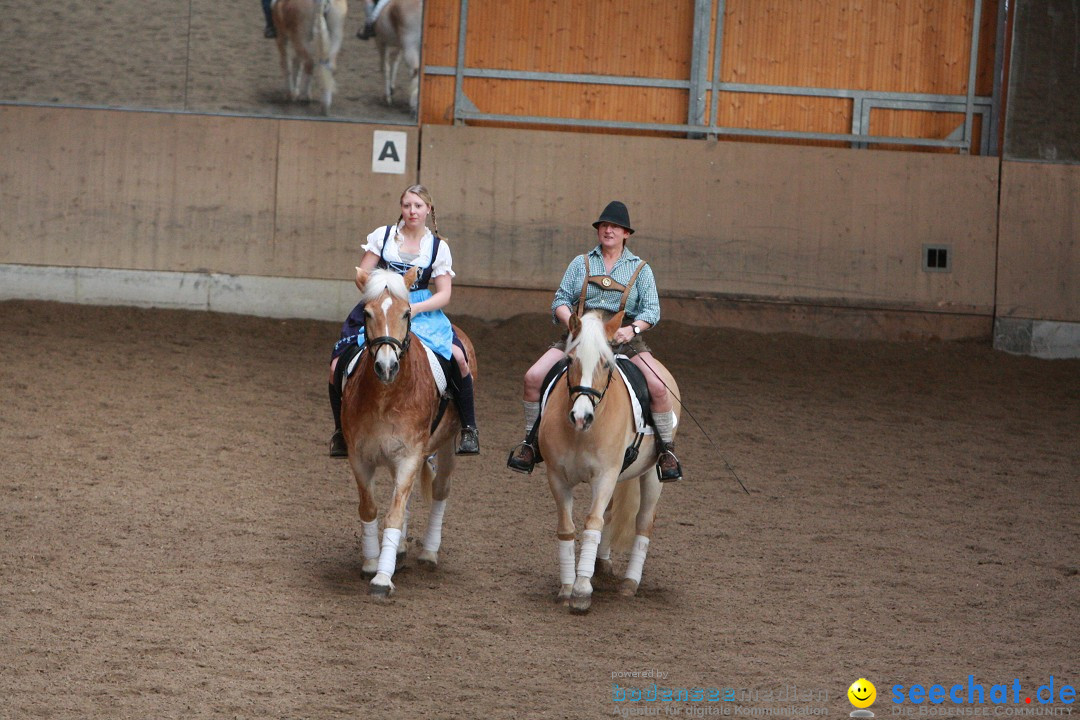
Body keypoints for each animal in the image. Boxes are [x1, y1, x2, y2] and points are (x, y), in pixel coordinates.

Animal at [336, 264, 473, 595]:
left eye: (407, 313)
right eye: (367, 313)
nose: (387, 367)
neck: (386, 397)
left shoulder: (410, 455)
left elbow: (394, 514)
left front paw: (382, 578)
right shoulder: (360, 456)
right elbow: (369, 508)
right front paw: (372, 562)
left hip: (447, 445)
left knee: (440, 489)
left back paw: (429, 553)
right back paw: (397, 550)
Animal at [540, 310, 682, 613]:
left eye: (605, 363)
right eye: (570, 360)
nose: (581, 416)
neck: (581, 434)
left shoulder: (605, 475)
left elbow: (592, 523)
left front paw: (582, 590)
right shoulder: (557, 476)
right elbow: (567, 529)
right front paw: (567, 587)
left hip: (652, 474)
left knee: (644, 521)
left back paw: (629, 583)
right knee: (612, 512)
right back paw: (600, 564)